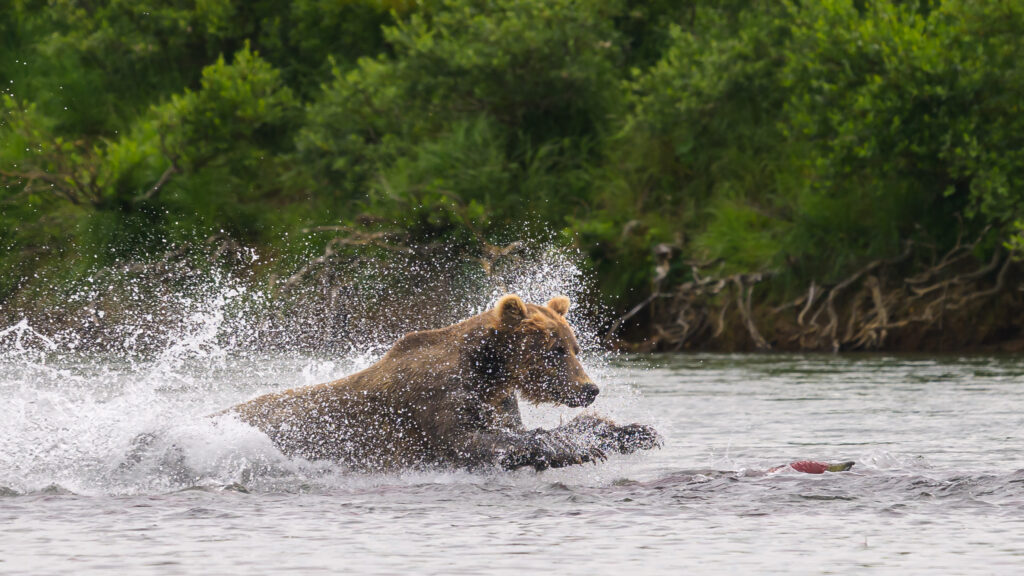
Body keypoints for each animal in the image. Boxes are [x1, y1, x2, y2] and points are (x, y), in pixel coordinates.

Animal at [228, 294, 660, 471]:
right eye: (555, 350)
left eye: (575, 346)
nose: (590, 389)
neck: (487, 371)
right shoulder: (433, 399)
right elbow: (471, 441)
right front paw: (572, 449)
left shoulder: (497, 399)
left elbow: (514, 429)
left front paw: (633, 431)